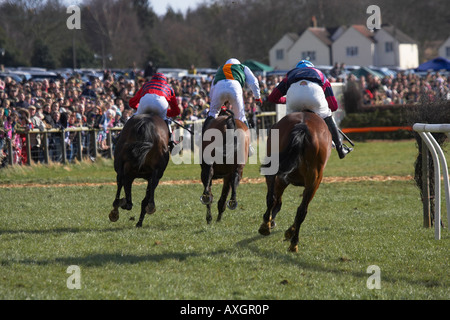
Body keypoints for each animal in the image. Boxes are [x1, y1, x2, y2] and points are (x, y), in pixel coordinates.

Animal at [256, 112, 330, 252]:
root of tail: (303, 125)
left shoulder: (284, 179)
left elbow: (276, 200)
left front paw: (271, 222)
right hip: (314, 181)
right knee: (300, 210)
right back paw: (293, 241)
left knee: (274, 199)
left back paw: (267, 227)